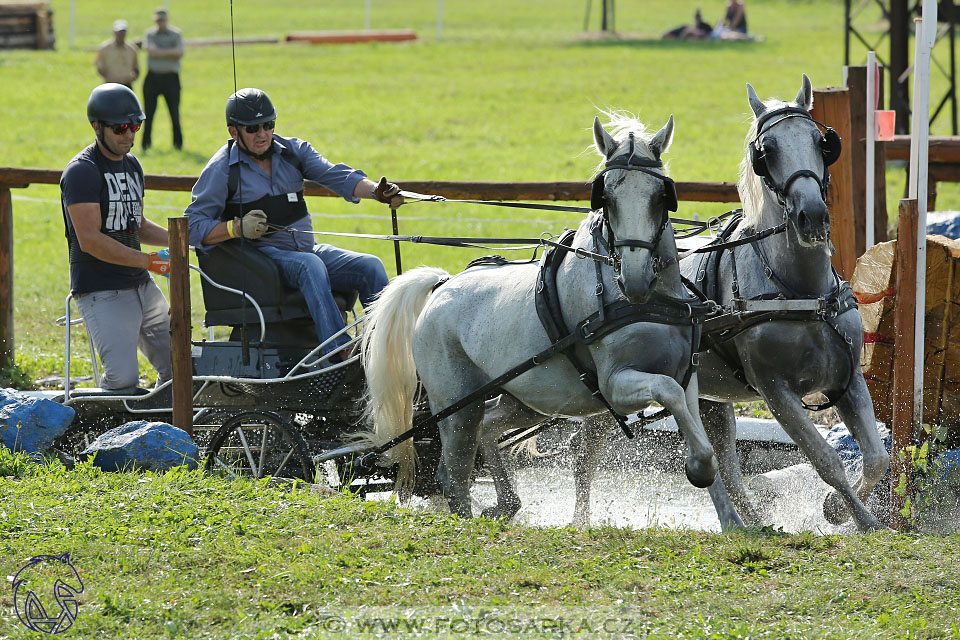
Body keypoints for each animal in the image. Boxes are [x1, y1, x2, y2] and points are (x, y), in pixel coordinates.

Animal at [360, 112, 720, 516]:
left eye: (662, 197)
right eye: (606, 197)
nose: (635, 278)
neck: (645, 303)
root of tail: (442, 285)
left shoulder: (684, 372)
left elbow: (688, 410)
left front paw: (702, 462)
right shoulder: (616, 384)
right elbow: (667, 392)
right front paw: (698, 467)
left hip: (526, 399)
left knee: (487, 428)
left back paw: (507, 503)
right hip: (456, 408)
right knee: (454, 477)